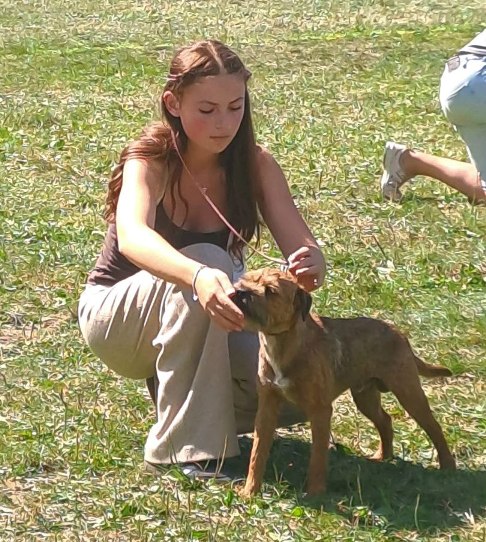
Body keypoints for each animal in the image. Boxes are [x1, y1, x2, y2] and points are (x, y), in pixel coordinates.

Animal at [232, 268, 456, 496]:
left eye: (270, 291)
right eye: (245, 280)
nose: (239, 291)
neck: (286, 345)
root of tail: (400, 335)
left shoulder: (320, 411)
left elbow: (317, 457)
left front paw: (315, 492)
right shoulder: (267, 407)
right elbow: (257, 454)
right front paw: (250, 491)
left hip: (408, 391)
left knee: (433, 426)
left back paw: (448, 466)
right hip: (365, 397)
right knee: (385, 420)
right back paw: (382, 456)